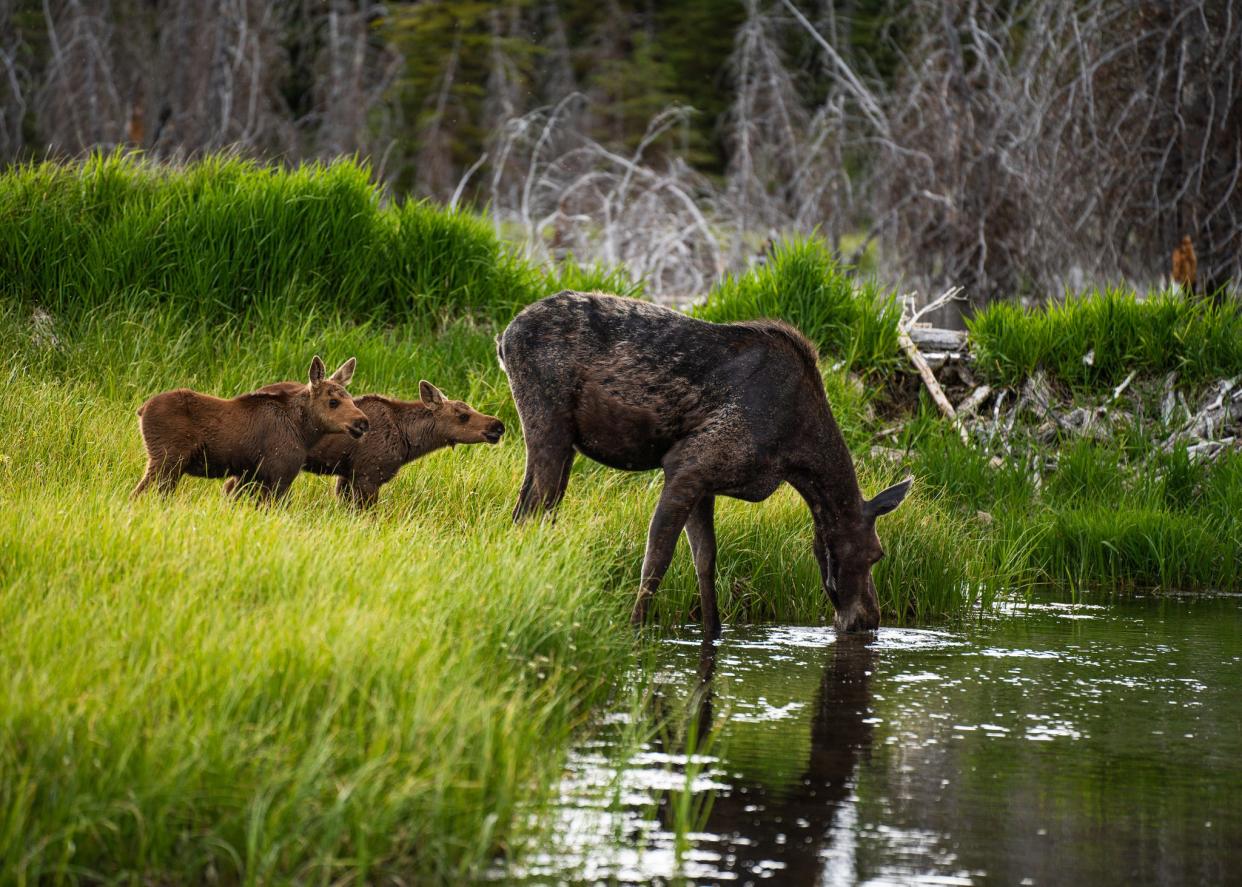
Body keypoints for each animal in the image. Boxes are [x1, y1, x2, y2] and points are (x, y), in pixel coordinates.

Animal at [135, 355, 370, 501]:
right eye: (333, 402)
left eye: (351, 399)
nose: (363, 422)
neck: (304, 433)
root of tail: (142, 409)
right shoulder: (279, 474)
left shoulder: (246, 475)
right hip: (167, 460)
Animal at [496, 291, 914, 636]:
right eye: (877, 554)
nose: (870, 620)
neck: (795, 458)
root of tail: (504, 338)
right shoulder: (688, 465)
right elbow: (657, 561)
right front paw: (635, 630)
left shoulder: (706, 486)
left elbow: (706, 563)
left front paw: (713, 633)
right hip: (548, 423)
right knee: (529, 511)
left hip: (563, 442)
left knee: (535, 511)